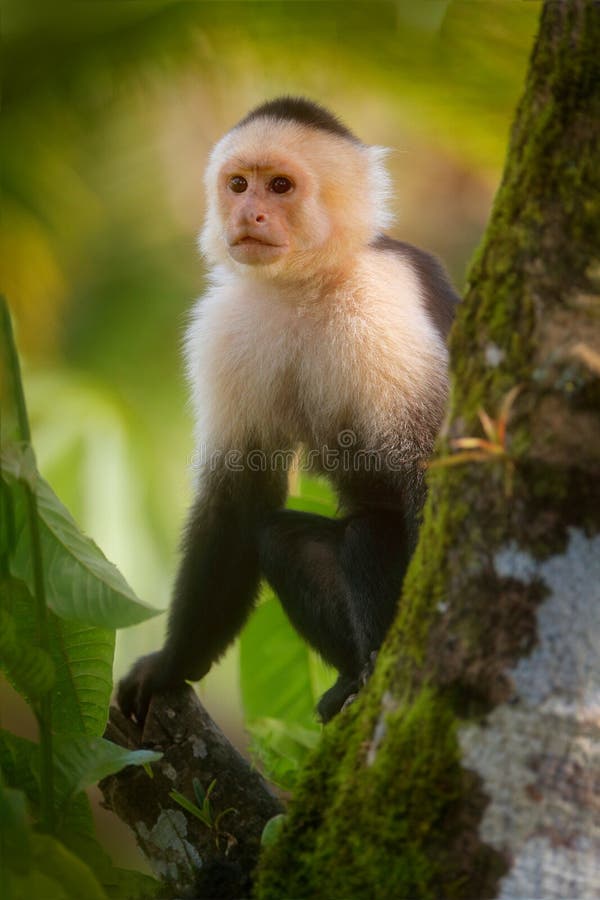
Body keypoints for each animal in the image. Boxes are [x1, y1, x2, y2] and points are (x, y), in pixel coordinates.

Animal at [117, 95, 458, 724]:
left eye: (280, 186)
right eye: (238, 184)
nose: (249, 214)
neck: (308, 283)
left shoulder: (385, 302)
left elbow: (433, 471)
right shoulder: (225, 327)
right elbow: (238, 497)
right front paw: (171, 665)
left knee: (371, 533)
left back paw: (369, 674)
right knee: (279, 537)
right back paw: (348, 678)